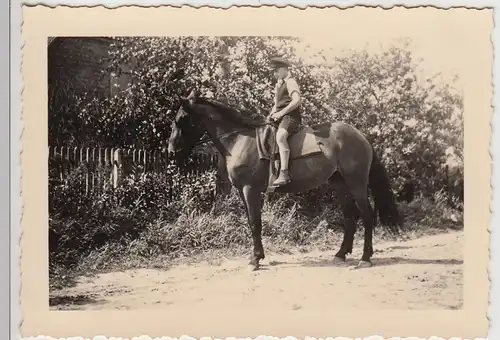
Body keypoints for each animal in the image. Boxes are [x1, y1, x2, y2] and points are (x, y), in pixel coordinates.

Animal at [168, 89, 402, 270]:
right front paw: (257, 256)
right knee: (350, 216)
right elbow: (251, 222)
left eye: (182, 120)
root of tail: (361, 136)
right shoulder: (243, 192)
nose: (171, 151)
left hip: (357, 182)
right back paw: (341, 253)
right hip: (339, 183)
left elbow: (255, 223)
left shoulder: (250, 190)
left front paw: (255, 259)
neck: (240, 139)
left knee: (367, 214)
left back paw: (365, 258)